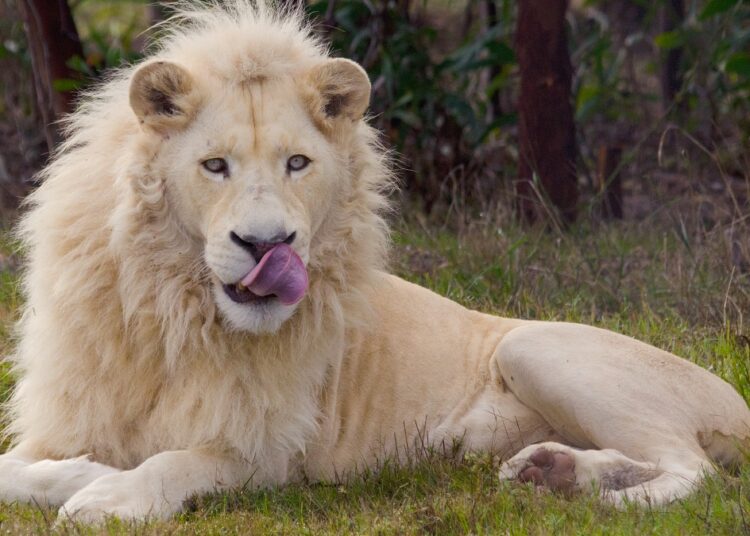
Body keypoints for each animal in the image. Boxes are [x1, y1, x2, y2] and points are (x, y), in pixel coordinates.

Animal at [0, 1, 748, 524]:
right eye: (214, 166)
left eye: (297, 163)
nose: (268, 245)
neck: (176, 309)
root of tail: (736, 399)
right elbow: (21, 468)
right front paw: (81, 474)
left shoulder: (271, 456)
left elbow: (175, 462)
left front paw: (107, 495)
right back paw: (551, 472)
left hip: (533, 347)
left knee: (695, 471)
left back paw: (608, 503)